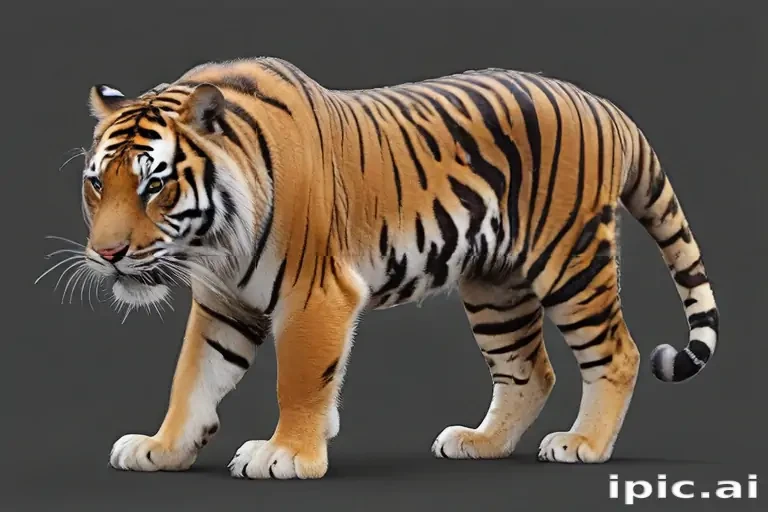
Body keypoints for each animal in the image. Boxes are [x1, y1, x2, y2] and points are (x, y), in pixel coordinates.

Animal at [69, 56, 719, 480]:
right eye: (98, 183)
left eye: (154, 185)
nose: (107, 254)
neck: (214, 243)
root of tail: (602, 104)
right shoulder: (223, 303)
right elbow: (192, 379)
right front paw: (162, 448)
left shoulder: (315, 294)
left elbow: (299, 380)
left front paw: (287, 454)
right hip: (496, 288)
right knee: (529, 370)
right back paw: (481, 443)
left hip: (569, 261)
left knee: (617, 353)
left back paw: (584, 443)